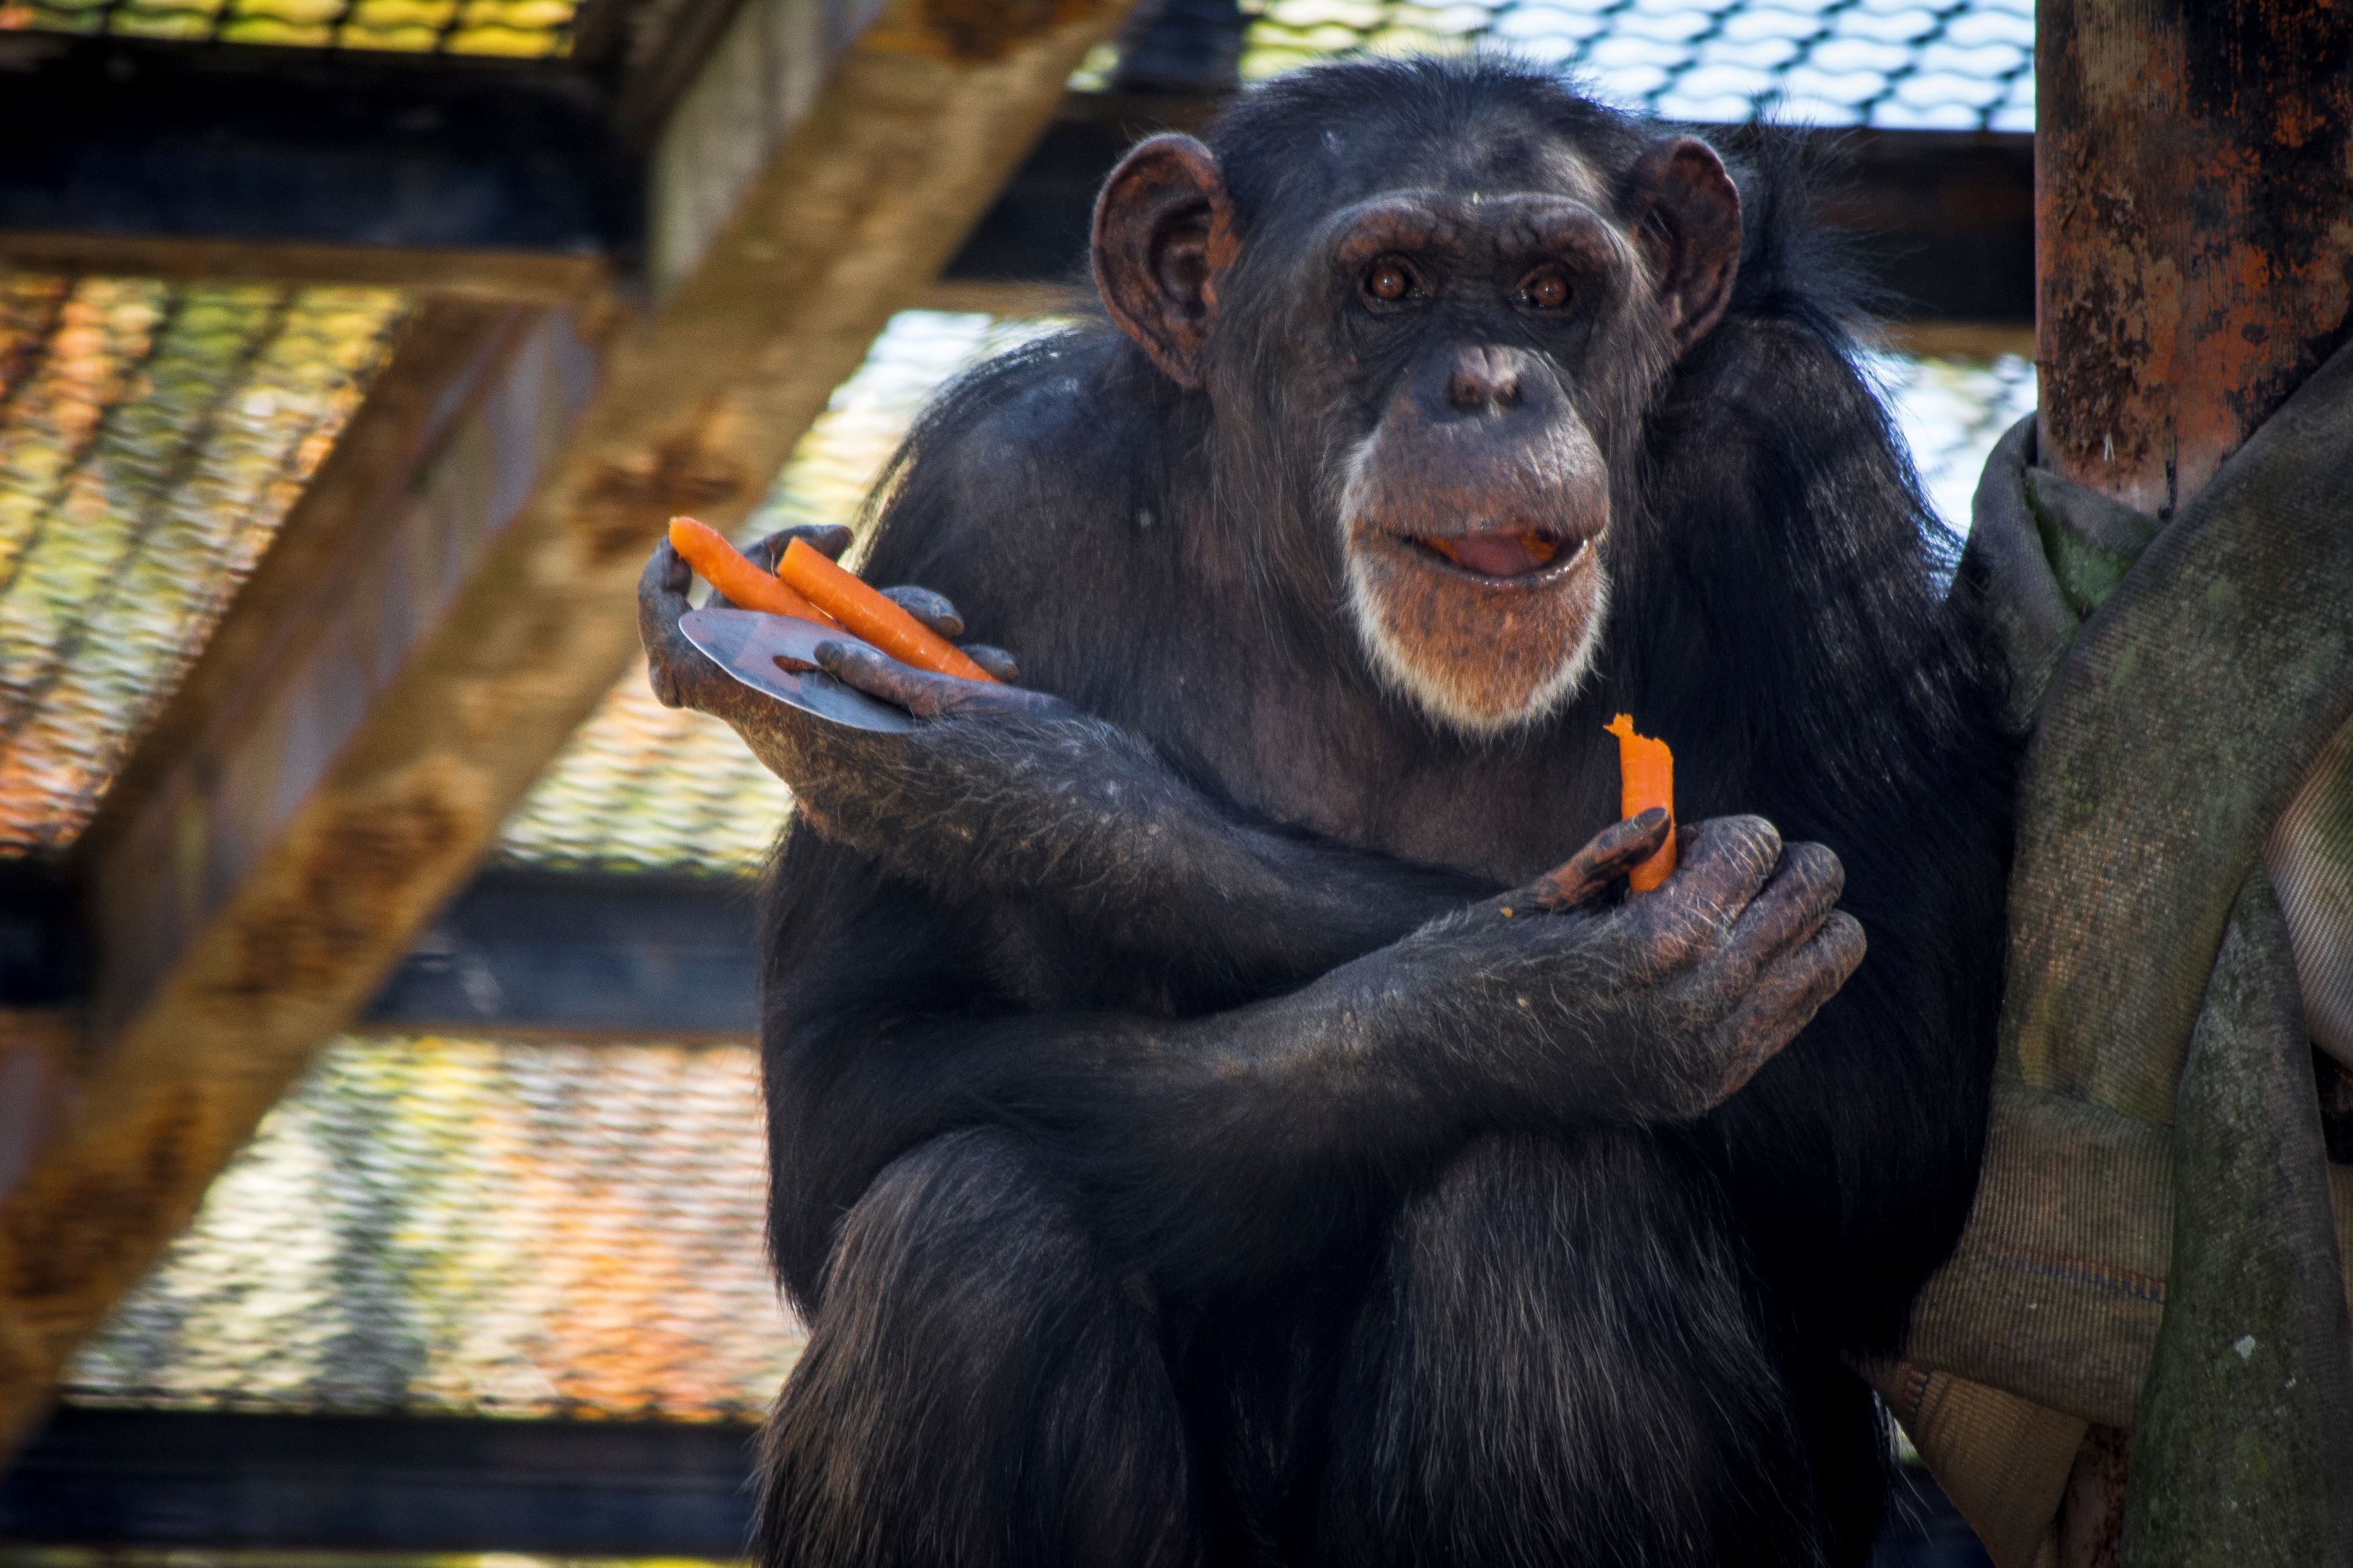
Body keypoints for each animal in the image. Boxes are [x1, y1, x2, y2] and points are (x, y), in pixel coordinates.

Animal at [640, 55, 2005, 1561]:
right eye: (1391, 284)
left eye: (1551, 290)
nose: (1489, 385)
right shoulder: (981, 495)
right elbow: (855, 1073)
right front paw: (1542, 999)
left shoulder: (1801, 453)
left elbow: (1899, 1093)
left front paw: (1044, 792)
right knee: (963, 1227)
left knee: (1555, 1193)